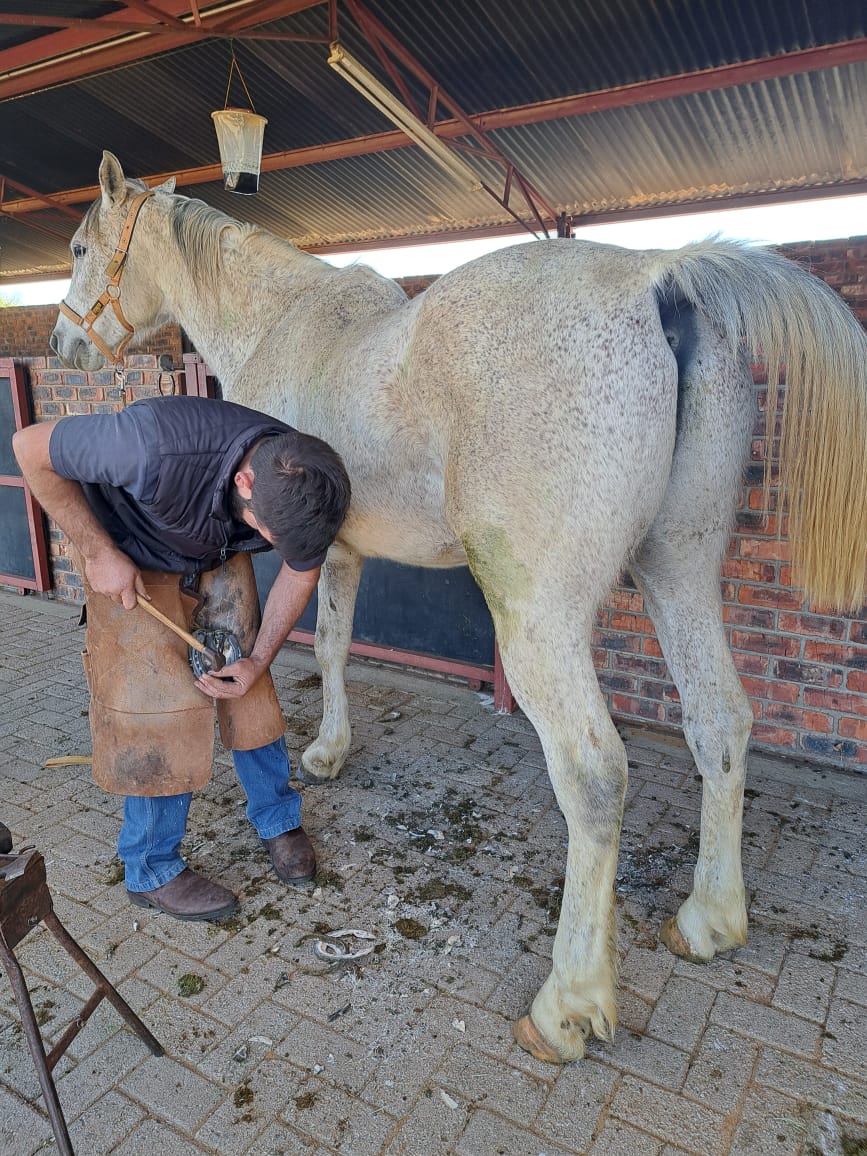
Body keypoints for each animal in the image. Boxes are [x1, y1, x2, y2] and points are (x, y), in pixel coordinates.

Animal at [50, 151, 867, 1064]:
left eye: (79, 248)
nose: (62, 343)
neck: (279, 323)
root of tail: (657, 280)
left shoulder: (280, 548)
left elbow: (296, 644)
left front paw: (313, 749)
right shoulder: (340, 552)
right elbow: (335, 645)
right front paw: (331, 749)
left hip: (540, 619)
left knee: (594, 777)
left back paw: (567, 1005)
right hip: (679, 571)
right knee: (719, 722)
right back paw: (709, 920)